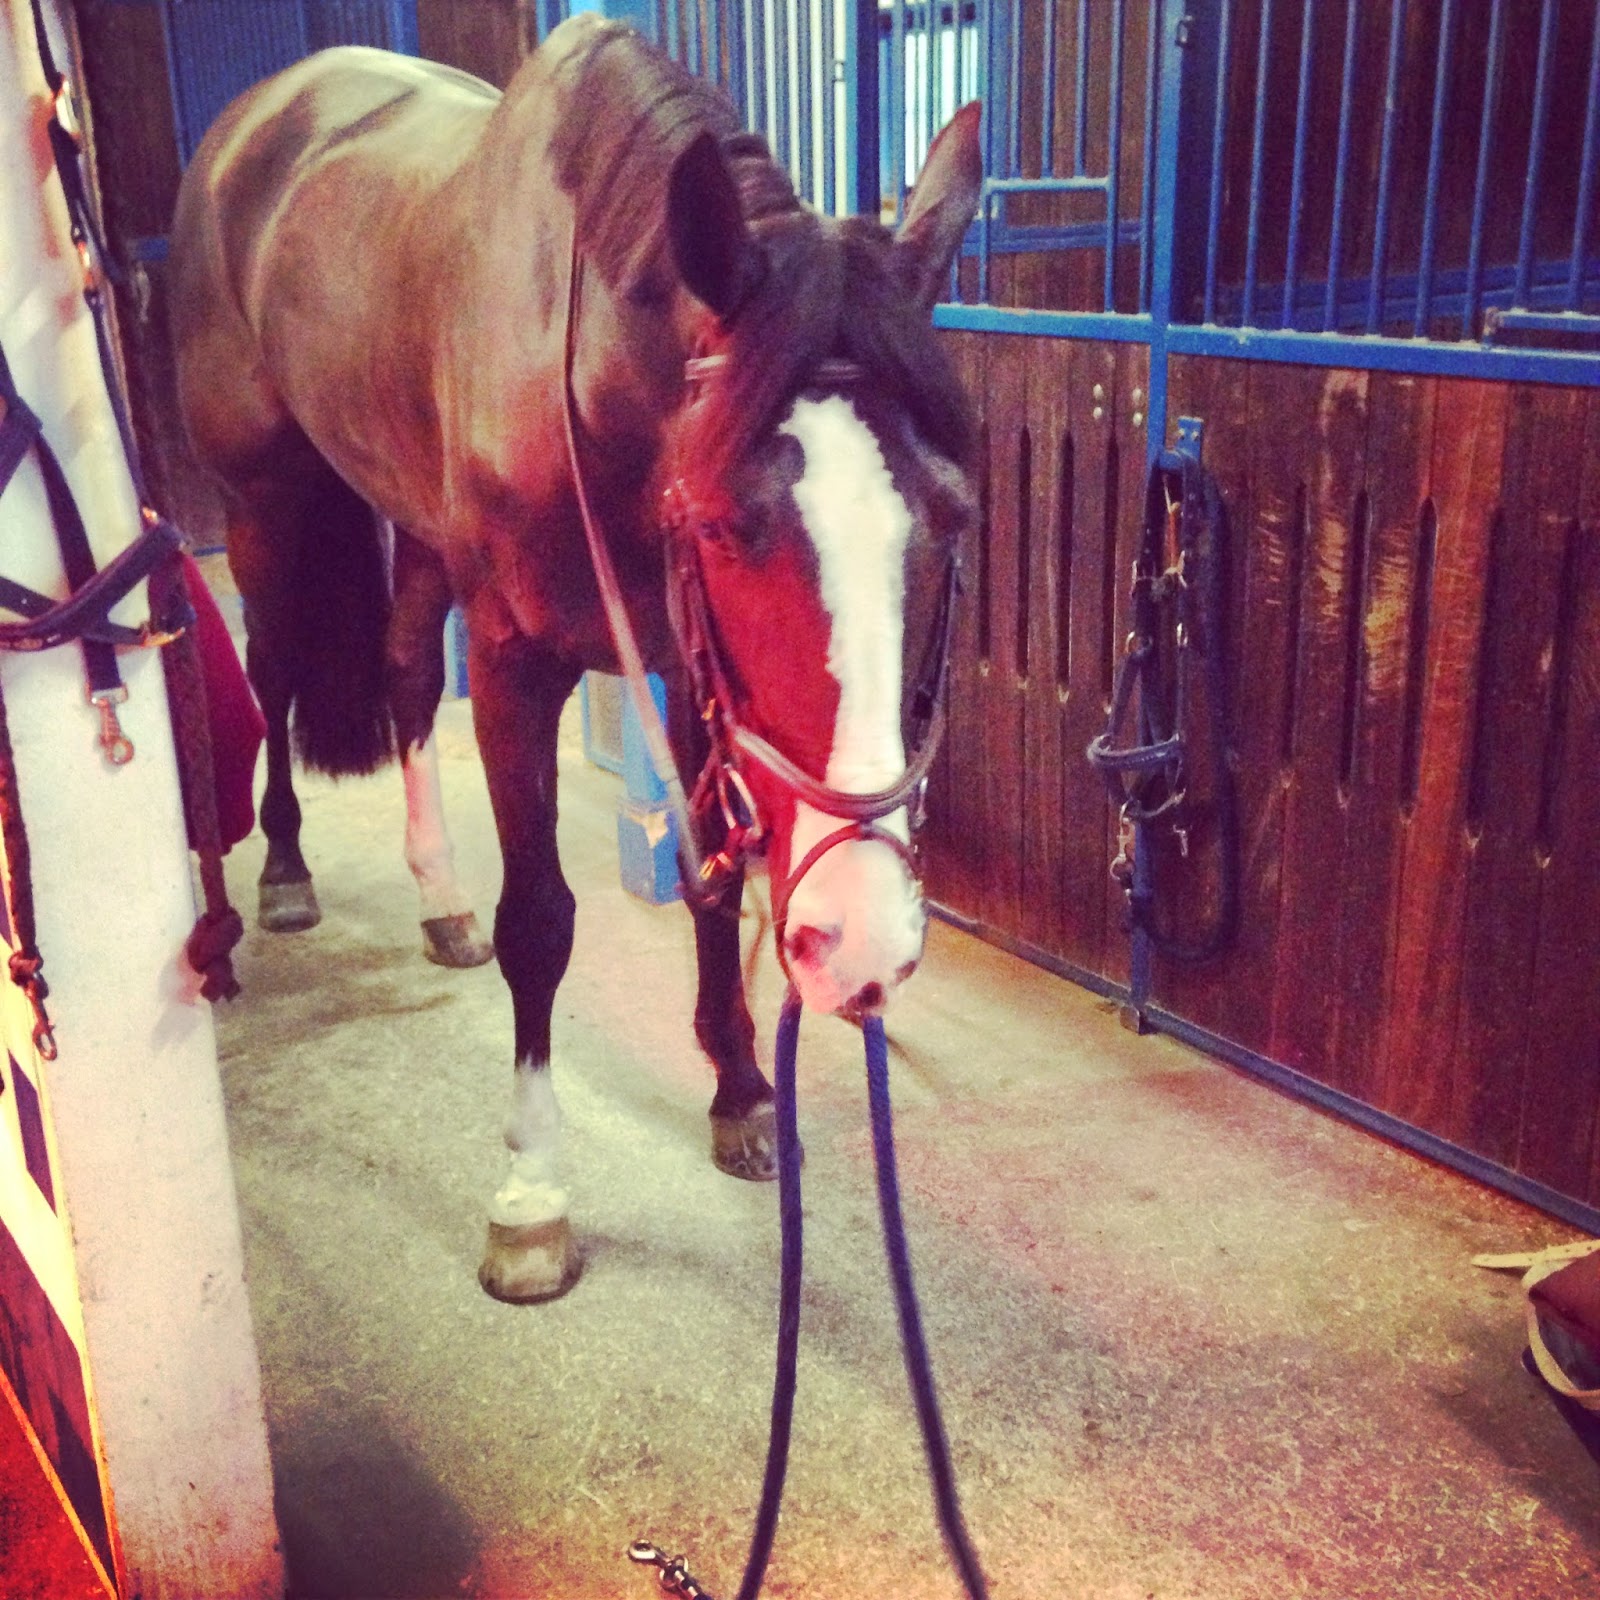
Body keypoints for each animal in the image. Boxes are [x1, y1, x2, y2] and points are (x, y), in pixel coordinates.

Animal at [168, 13, 982, 1302]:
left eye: (951, 516)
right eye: (724, 523)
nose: (863, 939)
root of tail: (256, 121)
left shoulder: (685, 664)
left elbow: (710, 879)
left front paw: (741, 1090)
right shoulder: (513, 667)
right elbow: (541, 922)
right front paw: (533, 1192)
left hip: (416, 533)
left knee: (405, 673)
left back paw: (438, 895)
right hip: (266, 503)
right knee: (278, 666)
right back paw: (279, 876)